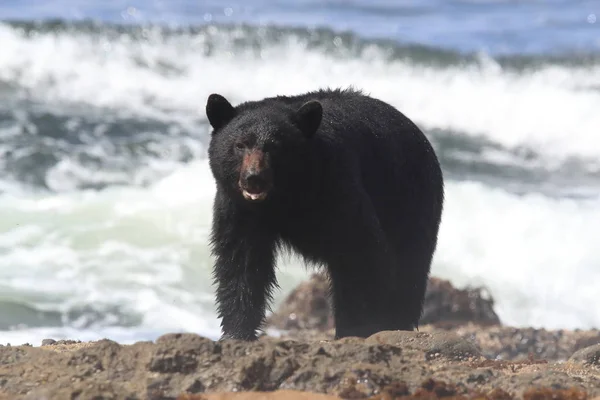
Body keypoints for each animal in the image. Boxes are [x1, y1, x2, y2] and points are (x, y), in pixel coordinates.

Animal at [206, 87, 446, 340]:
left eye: (274, 145)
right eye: (240, 145)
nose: (254, 177)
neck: (284, 197)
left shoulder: (336, 187)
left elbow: (362, 251)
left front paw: (357, 327)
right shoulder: (238, 208)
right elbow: (240, 261)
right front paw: (236, 332)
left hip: (409, 197)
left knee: (409, 265)